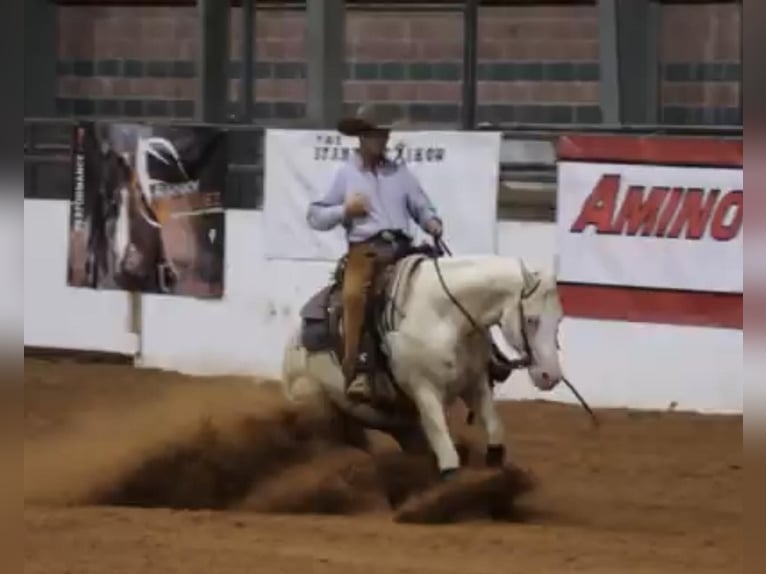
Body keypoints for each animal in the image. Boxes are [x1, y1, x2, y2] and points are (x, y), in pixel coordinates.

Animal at [282, 254, 564, 480]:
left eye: (559, 320)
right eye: (532, 320)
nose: (550, 376)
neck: (445, 316)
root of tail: (293, 342)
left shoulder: (474, 383)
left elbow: (494, 430)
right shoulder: (424, 389)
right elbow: (446, 450)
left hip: (390, 423)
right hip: (312, 399)